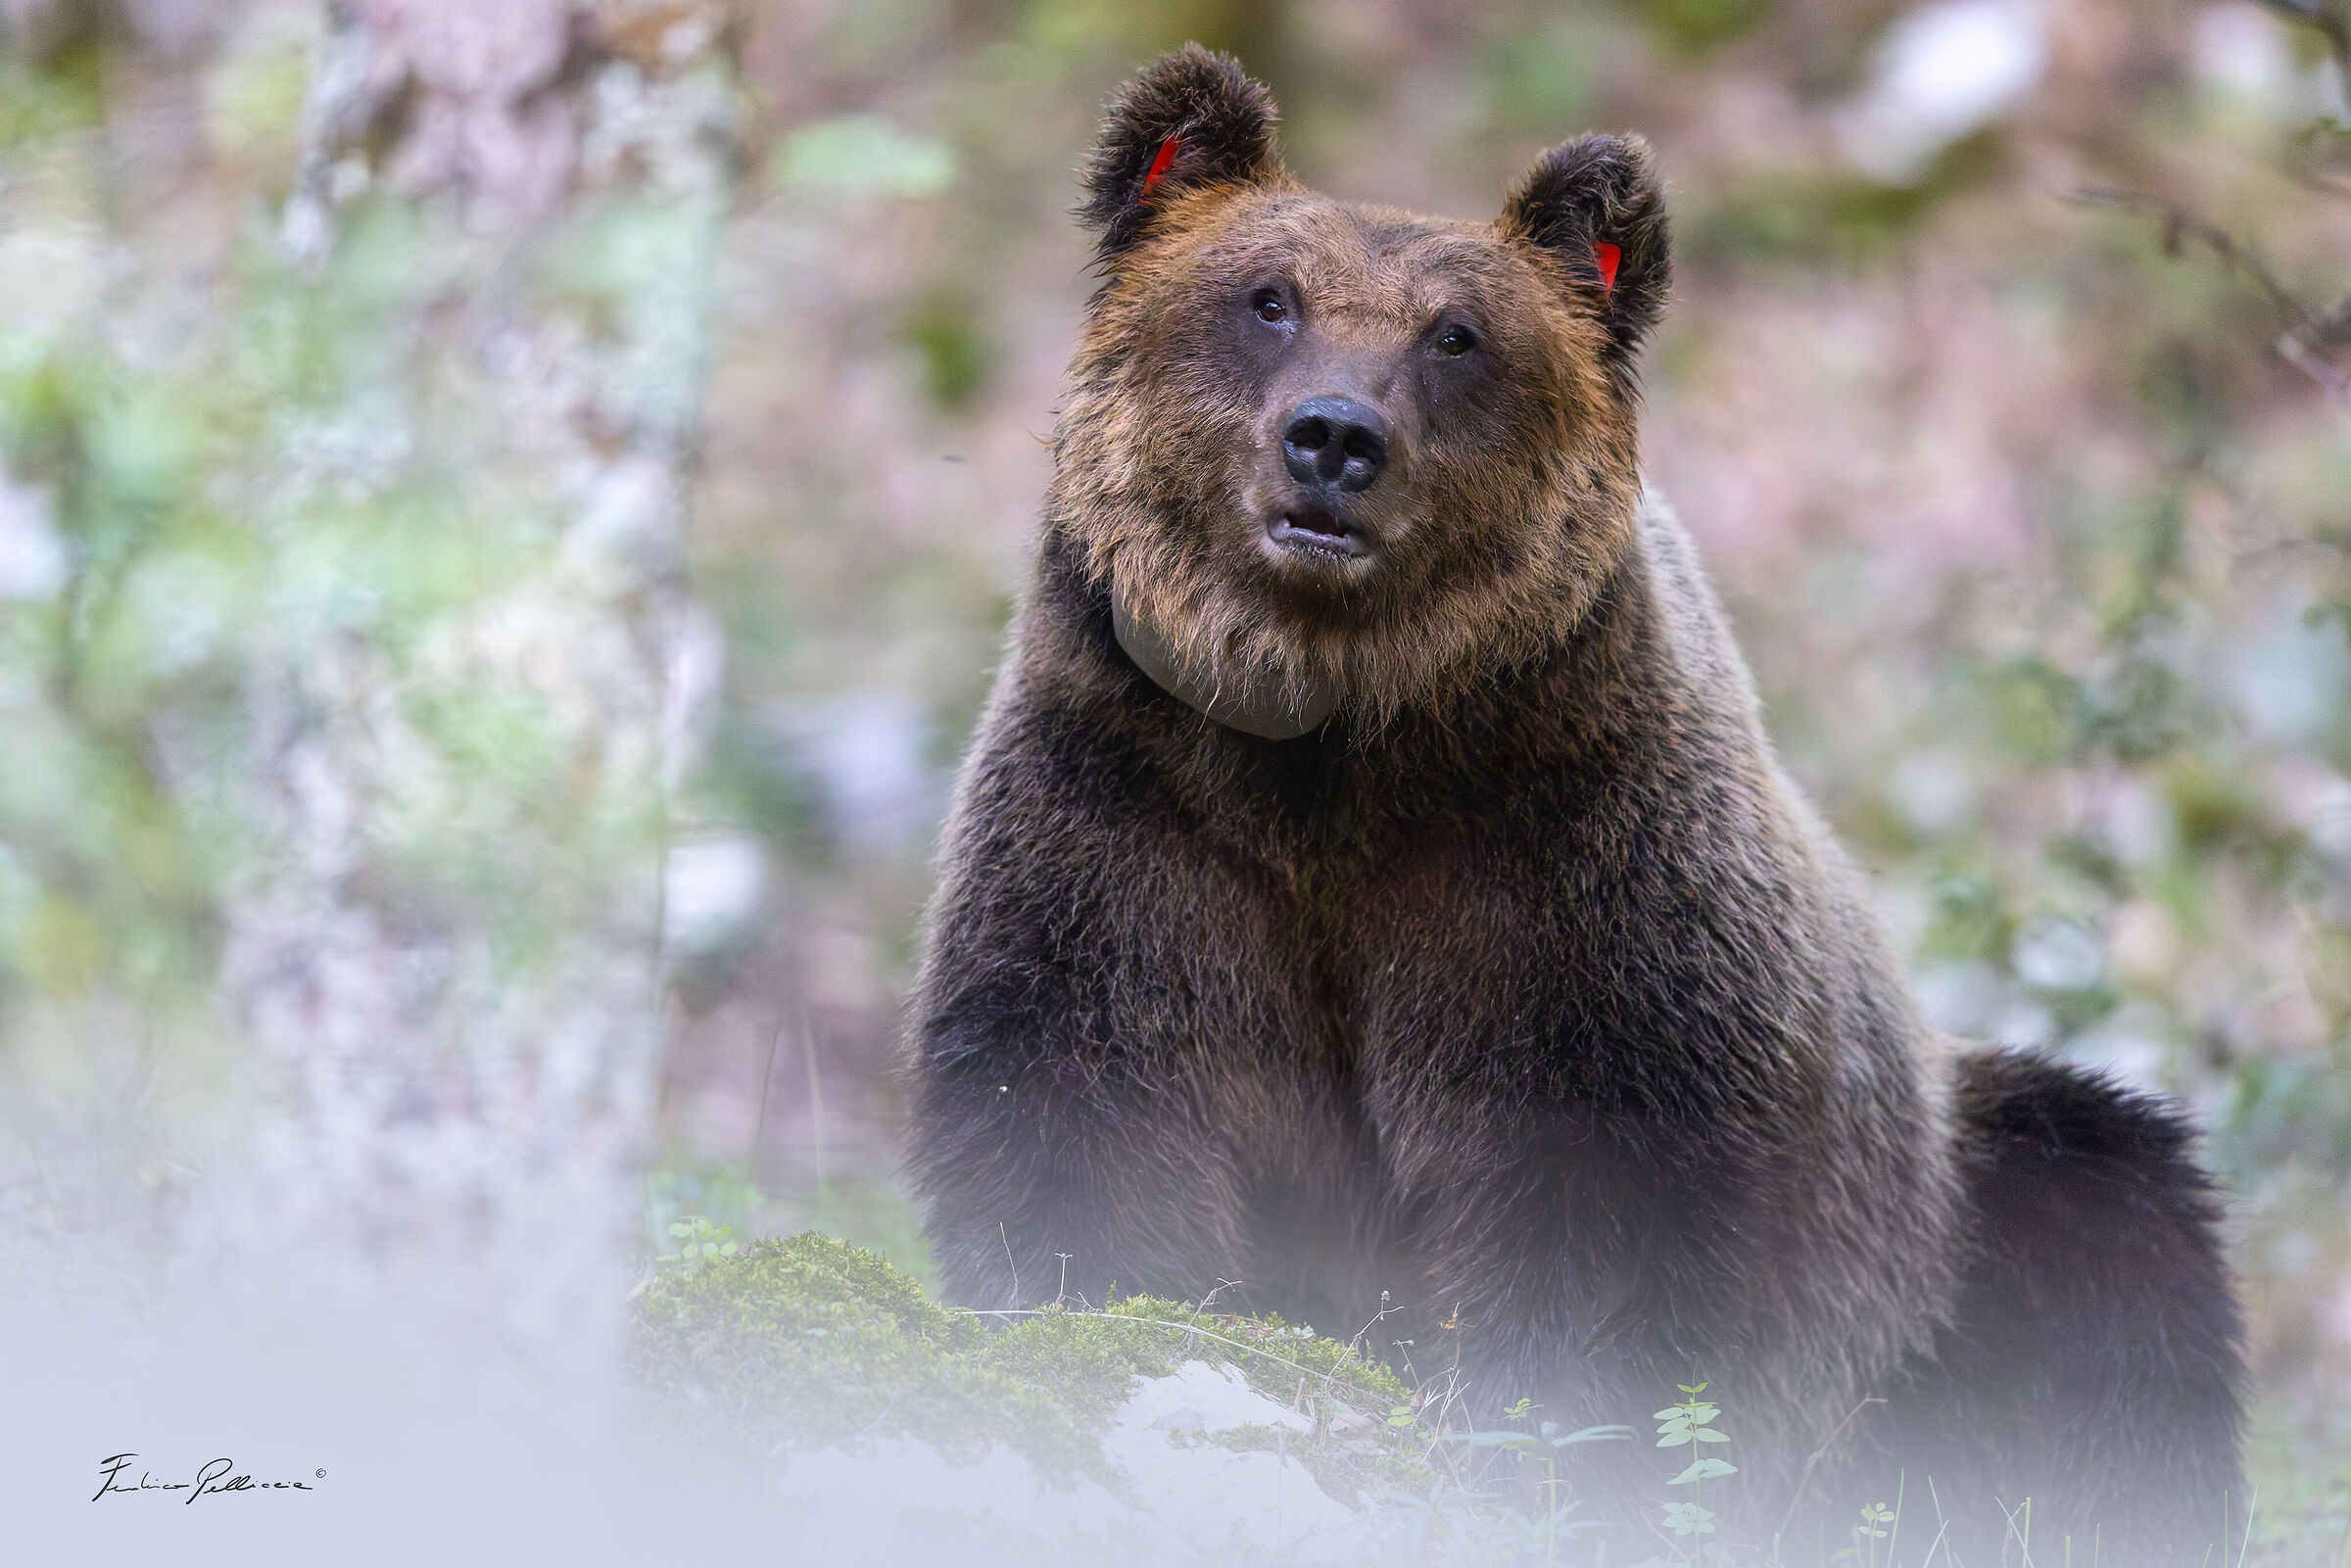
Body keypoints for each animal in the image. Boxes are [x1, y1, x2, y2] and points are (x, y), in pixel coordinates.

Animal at [905, 44, 2243, 1559]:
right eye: (1267, 298)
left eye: (1457, 336)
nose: (1333, 440)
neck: (1333, 743)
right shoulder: (1138, 808)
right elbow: (1086, 1085)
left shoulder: (1571, 861)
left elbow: (1598, 1169)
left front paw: (1545, 1433)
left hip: (1950, 1215)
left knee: (2113, 1221)